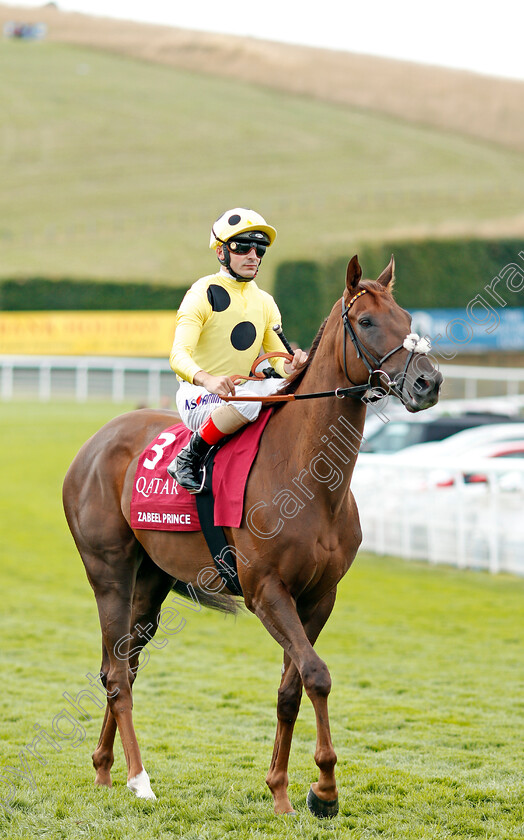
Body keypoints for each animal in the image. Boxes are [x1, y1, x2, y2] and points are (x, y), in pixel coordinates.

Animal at [64, 254, 442, 812]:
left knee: (125, 665)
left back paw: (104, 767)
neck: (310, 479)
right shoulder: (266, 591)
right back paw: (139, 778)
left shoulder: (319, 597)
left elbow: (292, 687)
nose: (427, 382)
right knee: (115, 675)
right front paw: (324, 790)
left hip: (151, 580)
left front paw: (282, 790)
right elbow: (317, 674)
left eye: (409, 319)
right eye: (368, 321)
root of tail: (95, 441)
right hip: (108, 571)